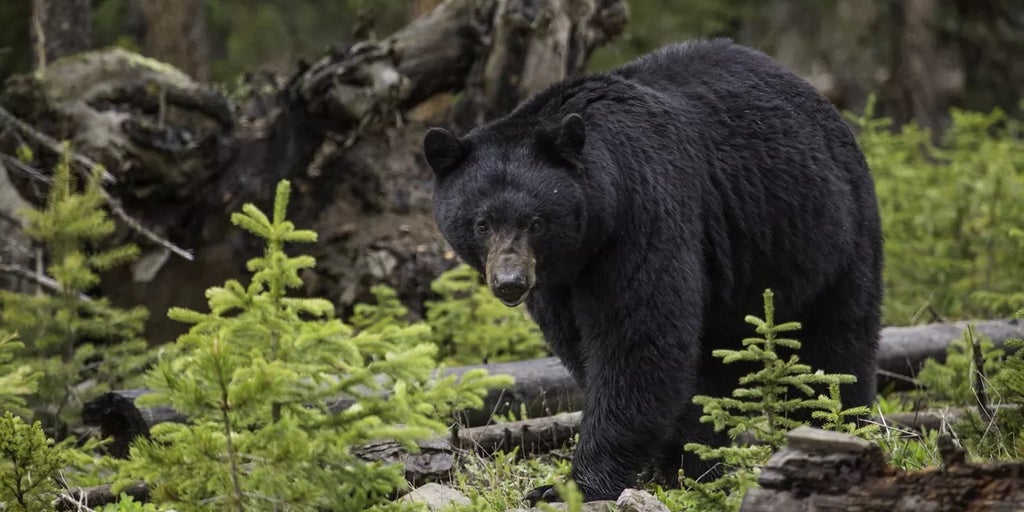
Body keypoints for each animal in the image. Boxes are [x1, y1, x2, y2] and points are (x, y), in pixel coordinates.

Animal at [422, 38, 883, 503]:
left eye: (535, 222)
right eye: (482, 223)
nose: (510, 283)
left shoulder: (644, 215)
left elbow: (638, 340)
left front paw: (572, 485)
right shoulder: (558, 280)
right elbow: (583, 345)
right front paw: (673, 461)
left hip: (828, 234)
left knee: (835, 344)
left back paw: (834, 426)